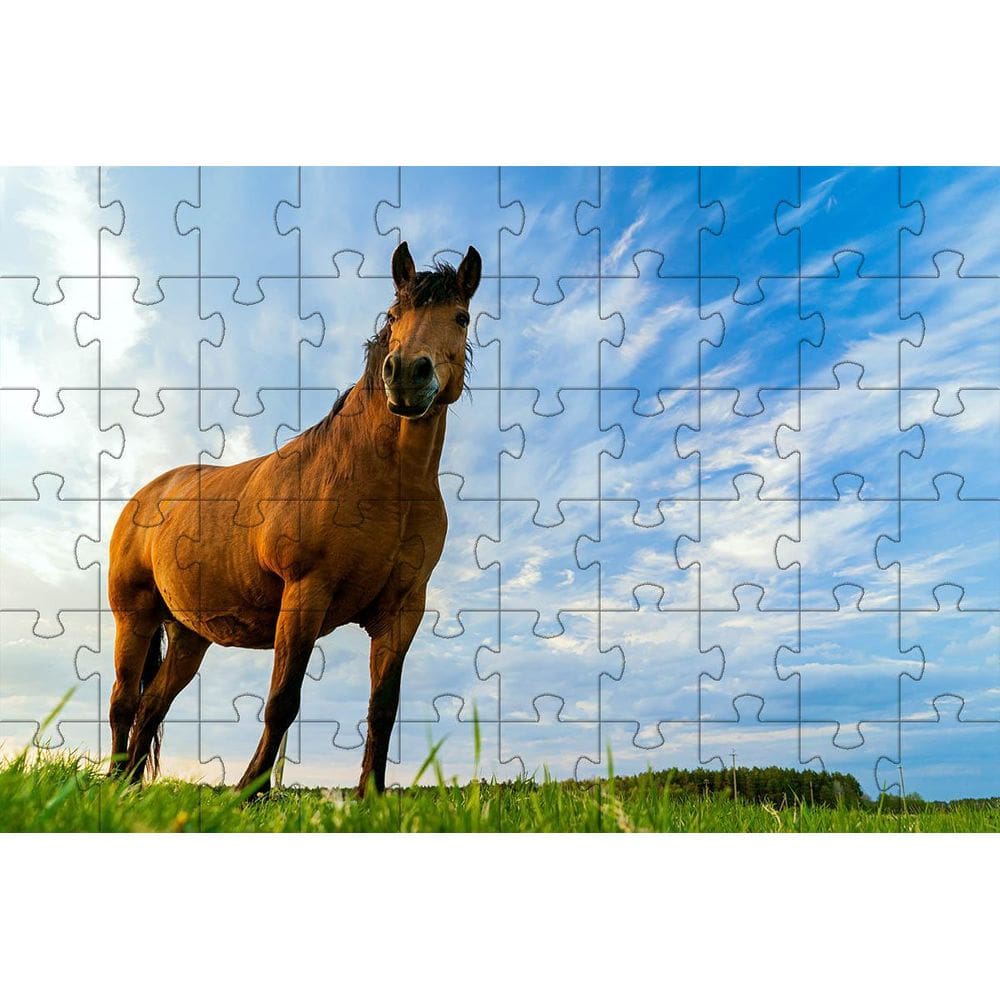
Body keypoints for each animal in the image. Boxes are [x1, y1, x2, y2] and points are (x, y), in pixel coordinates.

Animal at [107, 241, 481, 796]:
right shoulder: (306, 593)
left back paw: (129, 788)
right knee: (123, 703)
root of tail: (147, 495)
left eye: (461, 317)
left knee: (152, 706)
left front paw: (371, 797)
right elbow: (283, 701)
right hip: (134, 617)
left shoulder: (402, 612)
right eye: (395, 316)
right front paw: (249, 792)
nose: (407, 375)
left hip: (189, 635)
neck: (386, 482)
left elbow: (383, 709)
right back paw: (110, 783)